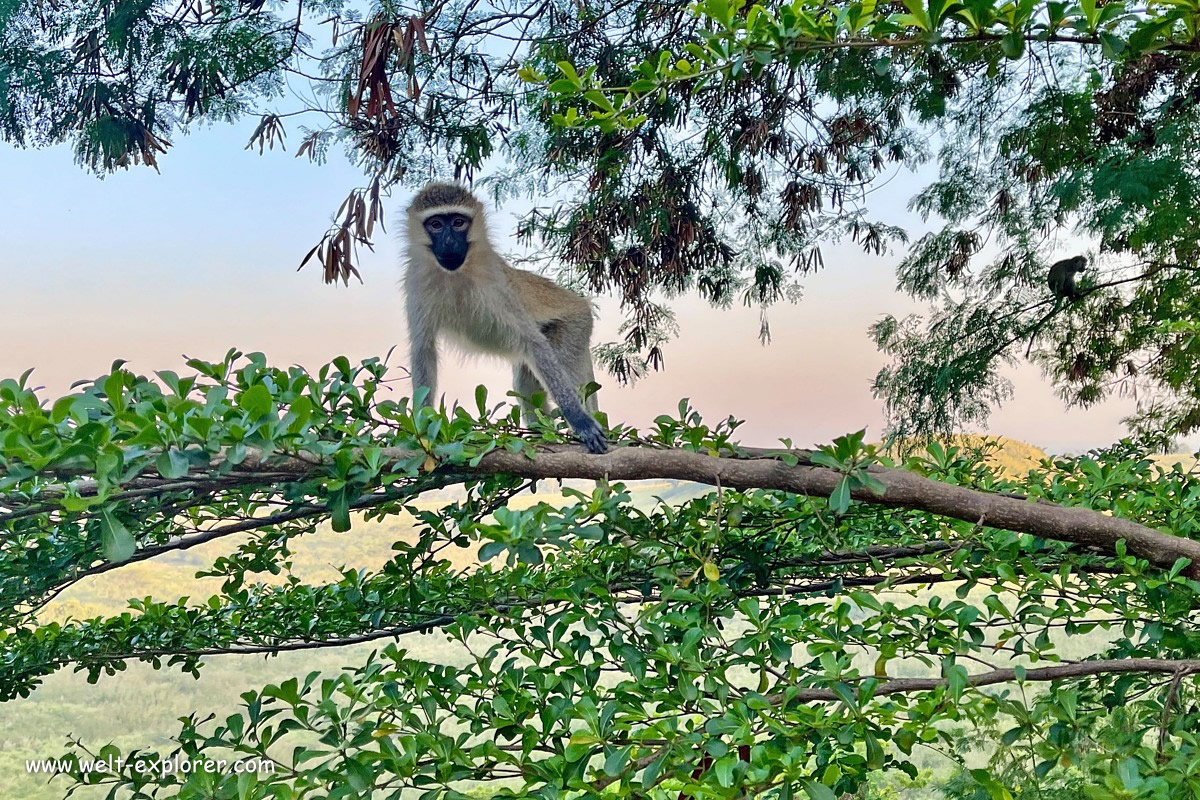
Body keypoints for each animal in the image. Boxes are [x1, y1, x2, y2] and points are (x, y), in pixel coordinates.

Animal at [402, 182, 608, 454]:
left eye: (458, 222)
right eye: (436, 224)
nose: (448, 241)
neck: (456, 274)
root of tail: (581, 304)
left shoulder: (496, 282)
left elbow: (534, 342)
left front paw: (579, 419)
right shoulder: (415, 279)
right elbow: (423, 348)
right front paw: (423, 427)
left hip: (575, 325)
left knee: (564, 363)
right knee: (526, 383)